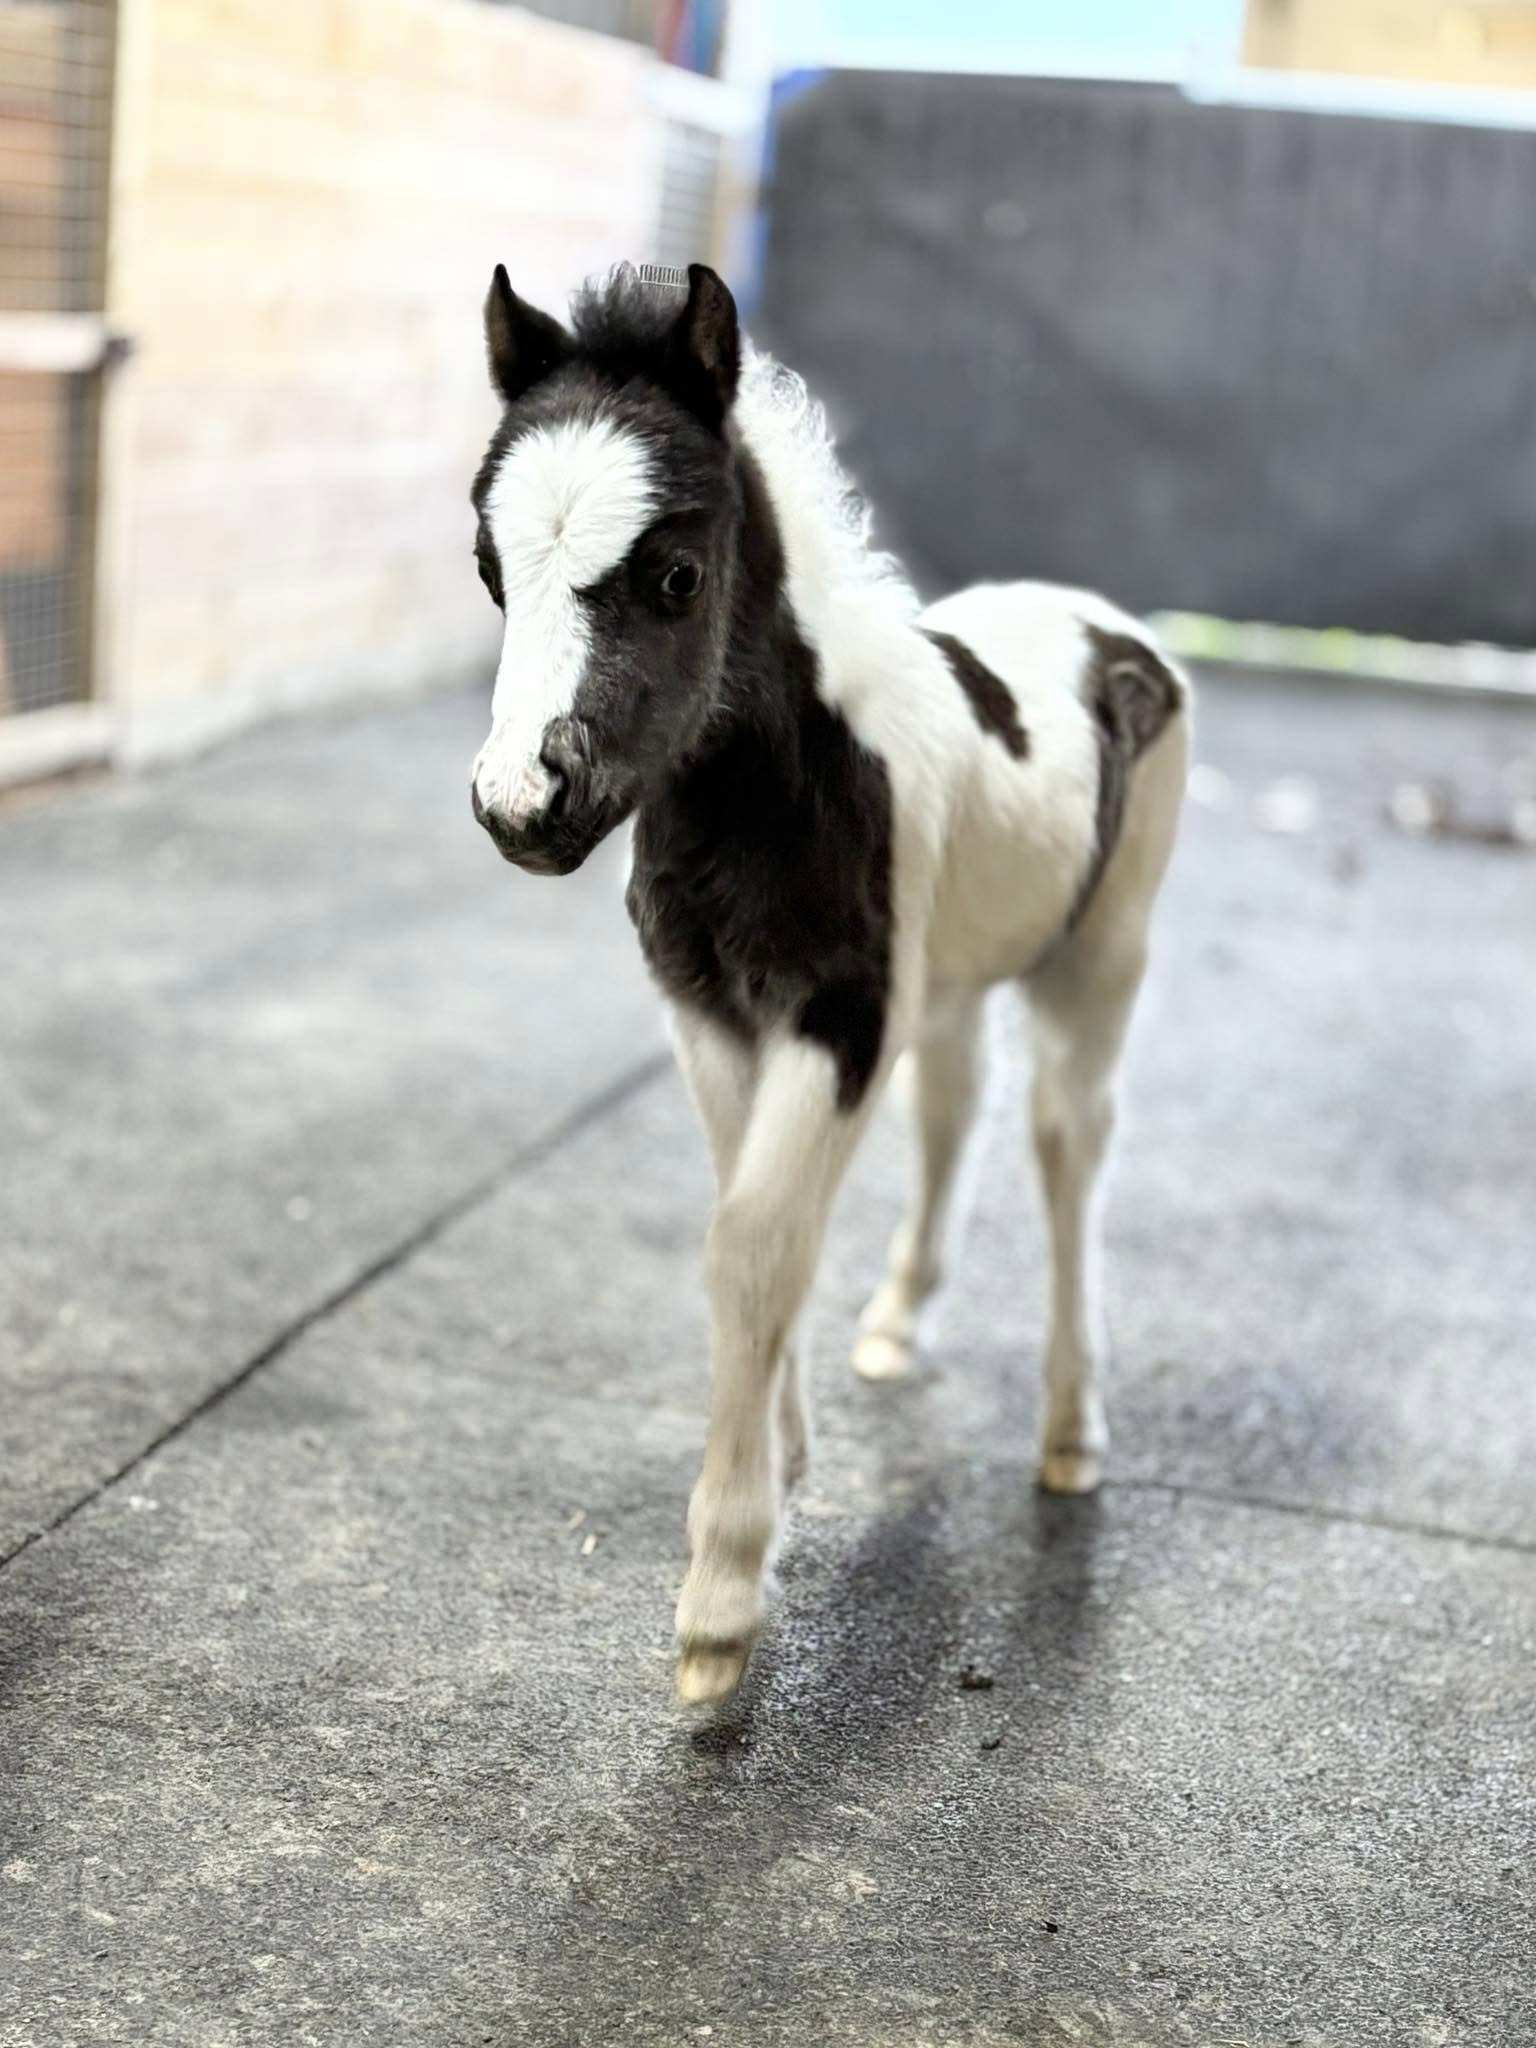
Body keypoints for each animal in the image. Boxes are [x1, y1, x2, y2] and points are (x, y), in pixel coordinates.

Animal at [468, 262, 1189, 1705]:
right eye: (488, 568)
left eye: (676, 573)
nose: (521, 806)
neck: (780, 781)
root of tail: (1106, 623)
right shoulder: (710, 1010)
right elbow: (753, 1210)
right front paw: (791, 1449)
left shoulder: (841, 1019)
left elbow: (753, 1242)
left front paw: (722, 1601)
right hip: (952, 976)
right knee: (957, 1108)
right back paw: (899, 1323)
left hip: (1103, 955)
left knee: (1068, 1144)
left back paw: (1073, 1431)